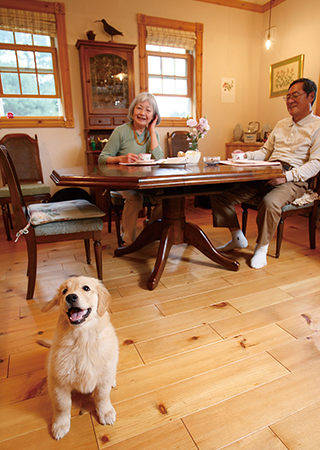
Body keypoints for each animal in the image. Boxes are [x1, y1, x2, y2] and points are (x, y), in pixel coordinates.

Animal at [41, 276, 119, 442]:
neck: (83, 340)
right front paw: (60, 425)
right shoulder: (59, 382)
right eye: (64, 291)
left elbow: (102, 396)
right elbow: (62, 405)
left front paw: (105, 412)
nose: (70, 297)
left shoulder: (103, 376)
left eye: (86, 288)